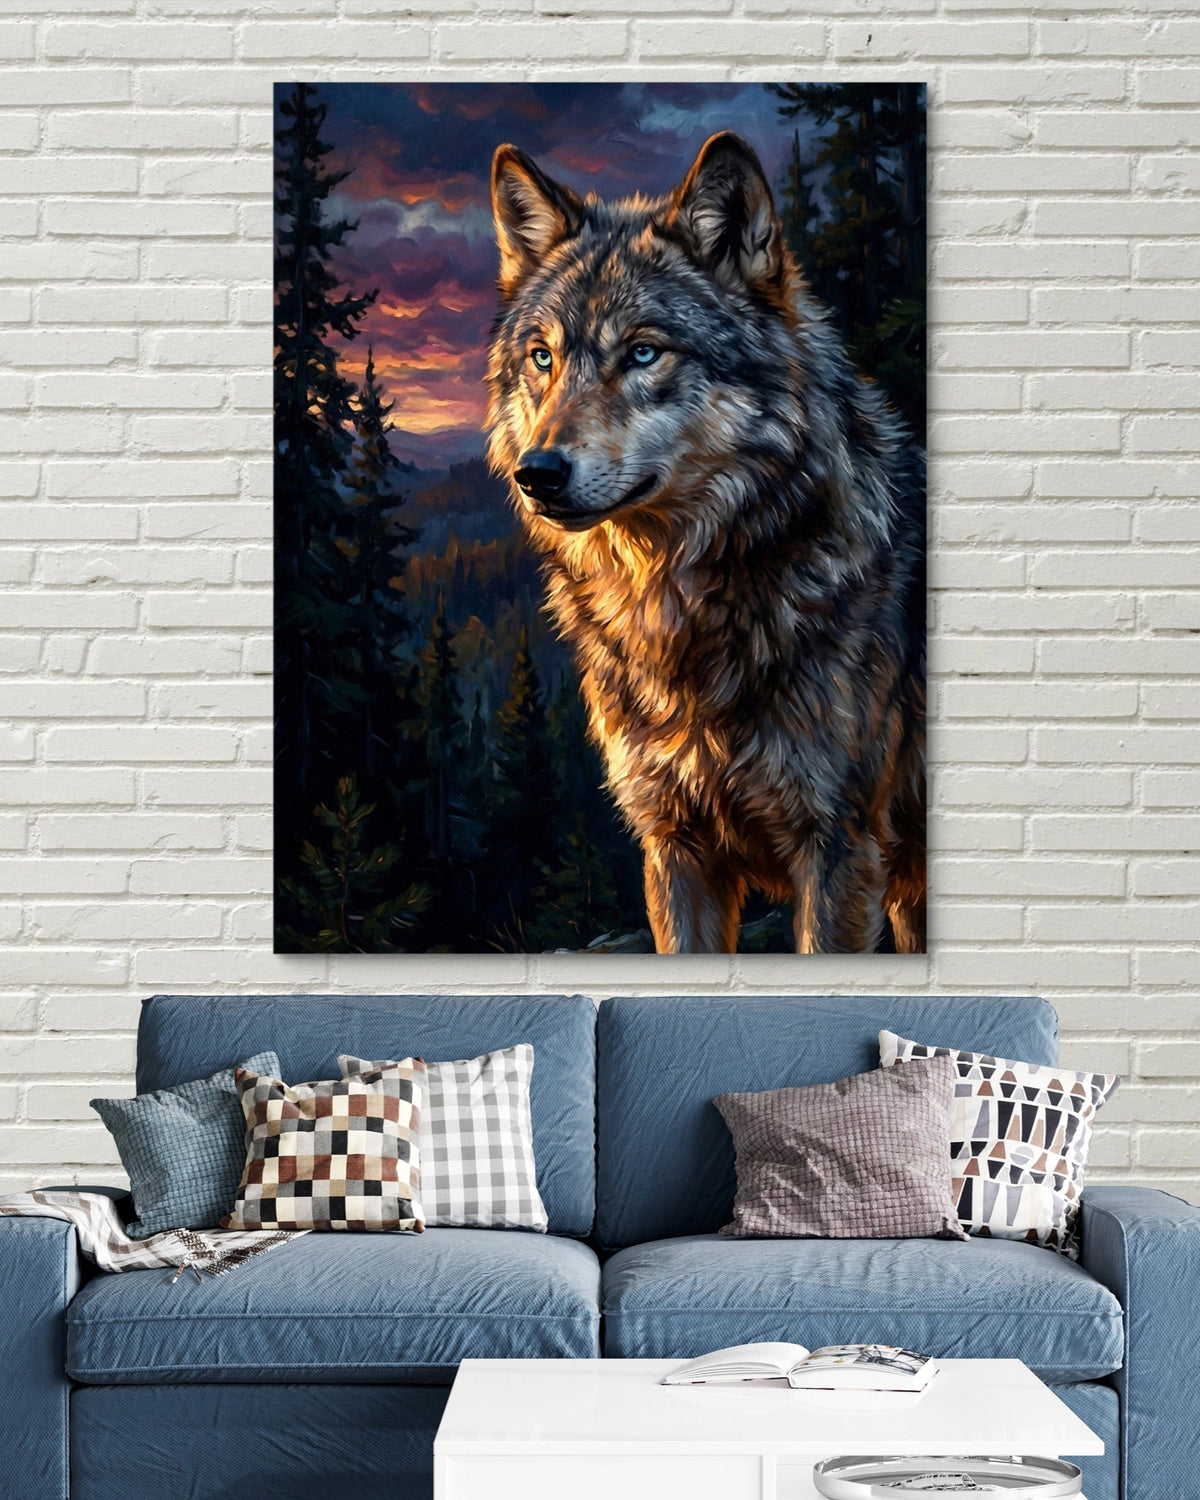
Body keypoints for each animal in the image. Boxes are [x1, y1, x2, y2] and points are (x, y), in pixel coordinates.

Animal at [485, 131, 925, 954]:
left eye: (643, 353)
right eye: (542, 358)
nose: (539, 474)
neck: (676, 608)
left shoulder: (839, 847)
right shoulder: (674, 847)